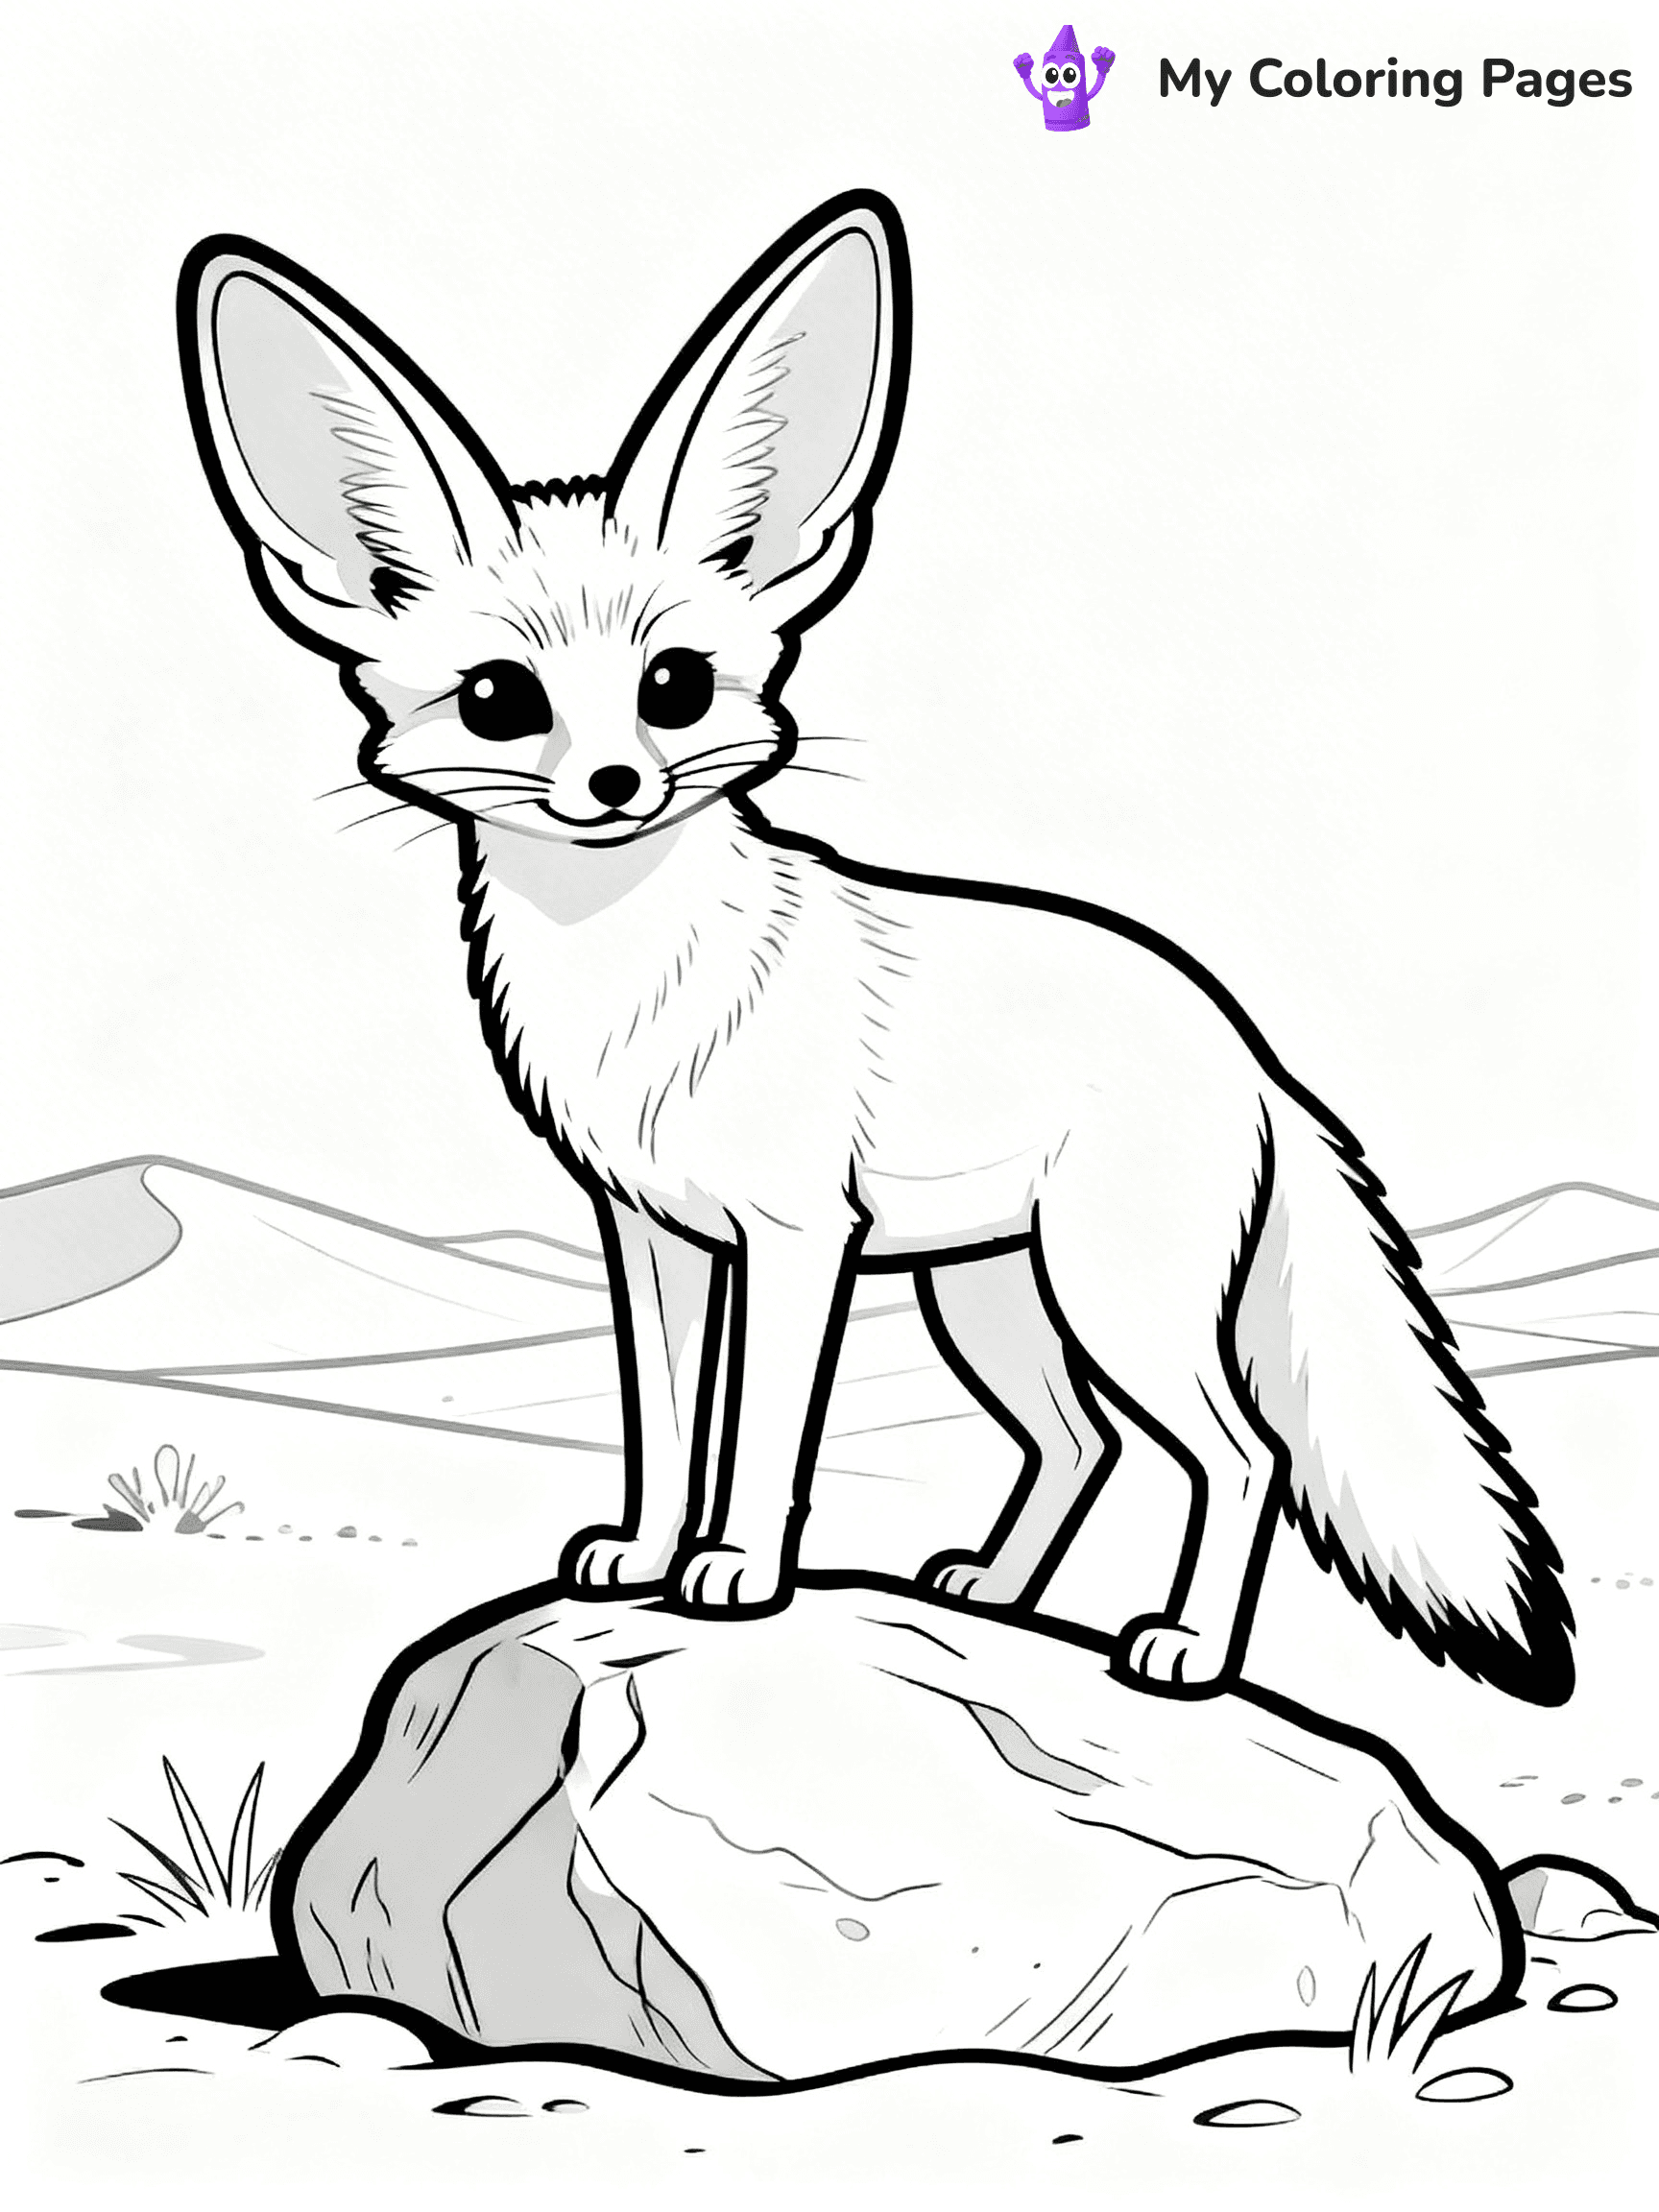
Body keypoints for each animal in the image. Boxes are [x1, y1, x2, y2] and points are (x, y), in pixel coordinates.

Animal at [178, 191, 1573, 1700]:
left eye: (675, 686)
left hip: (1108, 1294)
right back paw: (991, 1597)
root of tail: (1252, 1051)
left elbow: (763, 1437)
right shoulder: (650, 1233)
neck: (632, 985)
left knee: (1238, 1451)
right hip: (991, 1293)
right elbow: (665, 1425)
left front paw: (734, 1574)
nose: (616, 786)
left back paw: (1184, 1649)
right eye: (499, 700)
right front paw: (643, 1556)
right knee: (1083, 1440)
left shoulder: (799, 1235)